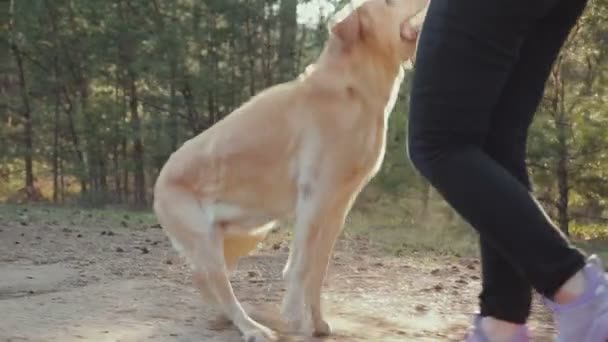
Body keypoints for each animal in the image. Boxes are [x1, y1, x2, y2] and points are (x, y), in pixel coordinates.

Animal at [152, 1, 428, 340]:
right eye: (388, 3)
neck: (353, 88)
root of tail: (158, 183)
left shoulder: (339, 206)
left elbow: (319, 270)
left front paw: (318, 322)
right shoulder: (315, 196)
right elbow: (301, 266)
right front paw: (295, 317)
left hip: (246, 233)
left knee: (202, 279)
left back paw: (229, 317)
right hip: (206, 239)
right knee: (218, 284)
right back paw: (251, 327)